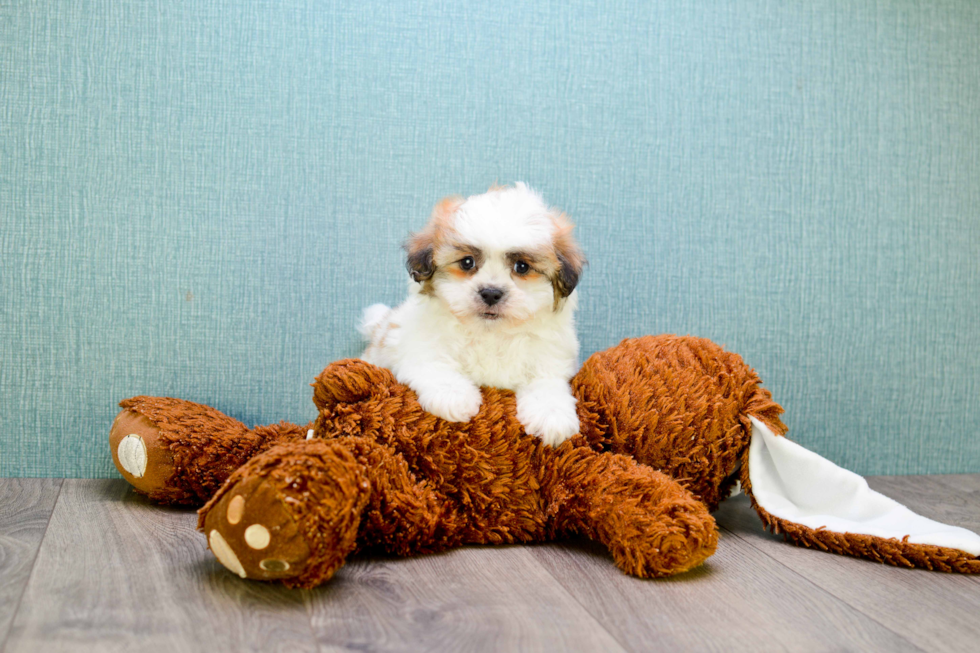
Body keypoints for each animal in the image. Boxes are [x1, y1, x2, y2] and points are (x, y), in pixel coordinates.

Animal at [362, 183, 584, 448]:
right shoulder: (418, 346)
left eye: (521, 266)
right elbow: (434, 365)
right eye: (467, 262)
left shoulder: (550, 358)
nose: (491, 293)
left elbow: (546, 383)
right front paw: (453, 395)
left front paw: (551, 415)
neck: (490, 333)